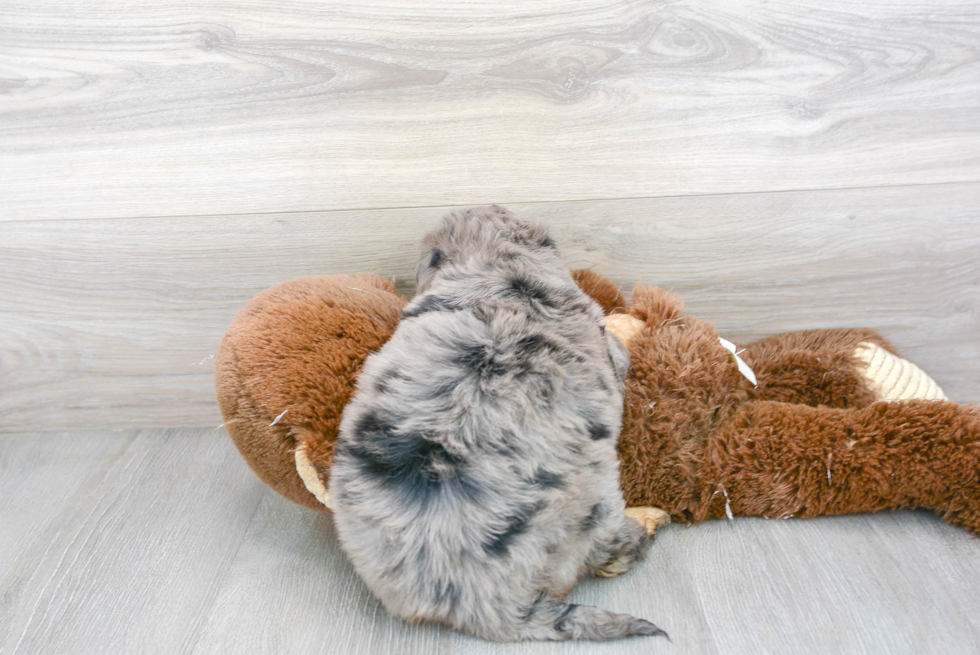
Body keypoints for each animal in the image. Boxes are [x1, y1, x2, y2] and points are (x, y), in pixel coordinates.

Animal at [330, 205, 668, 640]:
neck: (498, 269)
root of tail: (491, 608)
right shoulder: (599, 338)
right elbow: (618, 352)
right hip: (596, 506)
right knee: (609, 551)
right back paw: (645, 526)